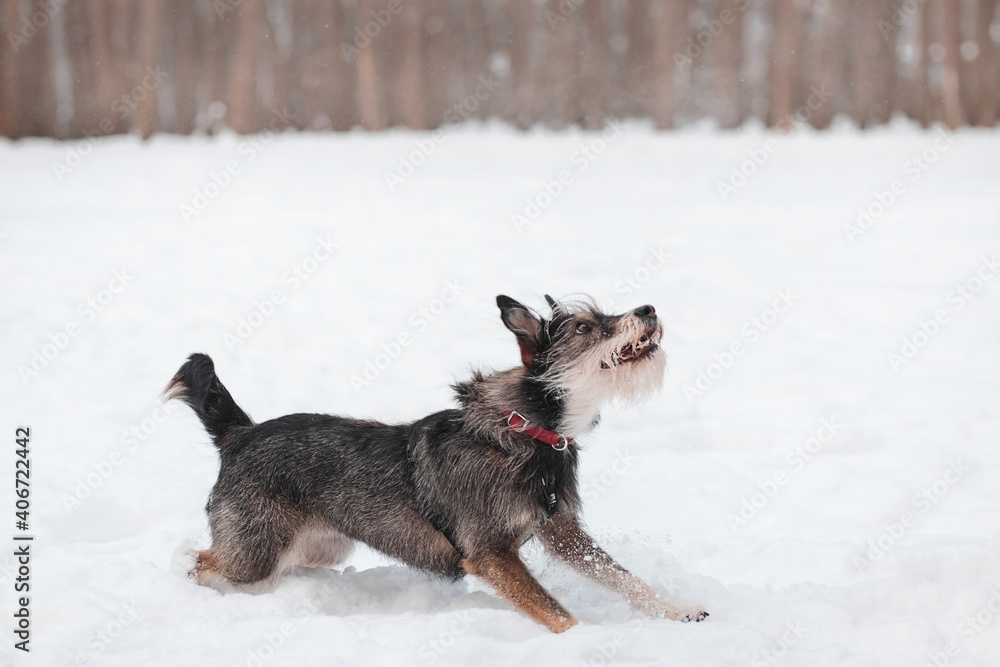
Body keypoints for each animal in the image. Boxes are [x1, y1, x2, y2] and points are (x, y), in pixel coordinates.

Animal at [164, 294, 708, 636]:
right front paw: (581, 642)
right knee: (198, 561)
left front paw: (677, 611)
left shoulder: (564, 533)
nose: (648, 308)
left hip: (320, 545)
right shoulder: (491, 554)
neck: (527, 430)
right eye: (584, 327)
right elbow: (559, 612)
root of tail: (240, 434)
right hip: (256, 548)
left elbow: (625, 577)